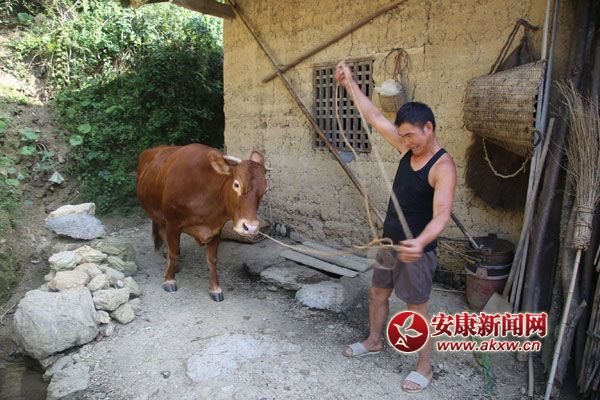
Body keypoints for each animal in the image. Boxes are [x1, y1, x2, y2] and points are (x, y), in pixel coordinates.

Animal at [136, 144, 268, 302]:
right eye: (236, 184)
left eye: (265, 189)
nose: (251, 227)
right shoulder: (172, 223)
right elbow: (174, 252)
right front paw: (169, 280)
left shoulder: (216, 227)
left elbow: (212, 259)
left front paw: (215, 288)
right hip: (158, 216)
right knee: (163, 234)